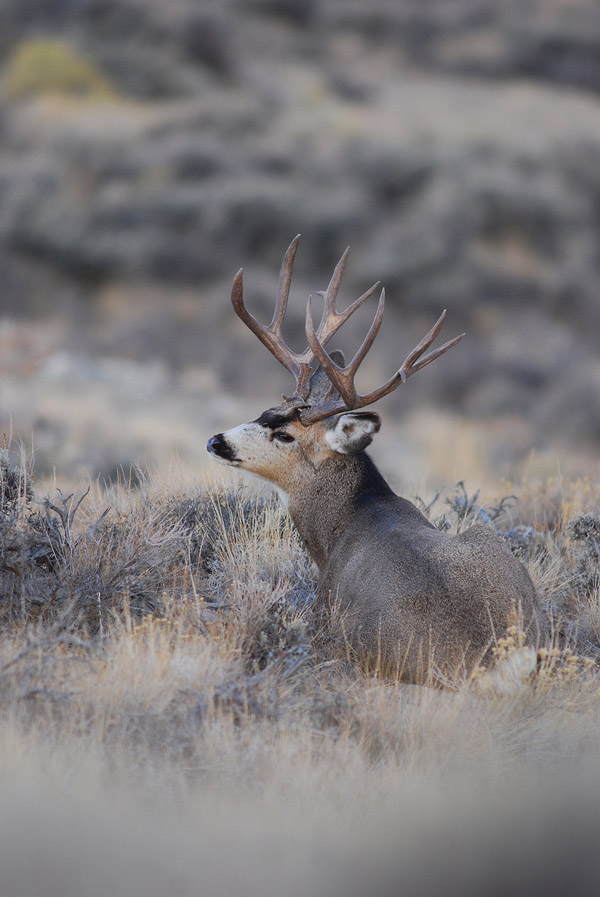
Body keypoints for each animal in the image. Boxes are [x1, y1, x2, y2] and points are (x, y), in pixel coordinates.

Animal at [207, 234, 548, 684]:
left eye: (284, 435)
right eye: (265, 410)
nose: (216, 441)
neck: (343, 523)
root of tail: (493, 659)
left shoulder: (322, 607)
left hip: (357, 642)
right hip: (488, 540)